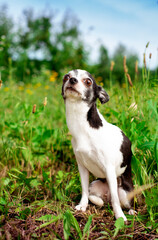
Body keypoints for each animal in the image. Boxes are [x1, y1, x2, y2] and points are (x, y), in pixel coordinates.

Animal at [61, 69, 135, 221]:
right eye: (66, 77)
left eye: (88, 81)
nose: (72, 80)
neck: (82, 126)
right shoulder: (82, 167)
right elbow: (84, 190)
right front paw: (82, 206)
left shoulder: (109, 169)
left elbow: (115, 200)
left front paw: (119, 216)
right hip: (94, 185)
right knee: (99, 198)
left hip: (124, 192)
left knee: (121, 200)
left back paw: (130, 211)